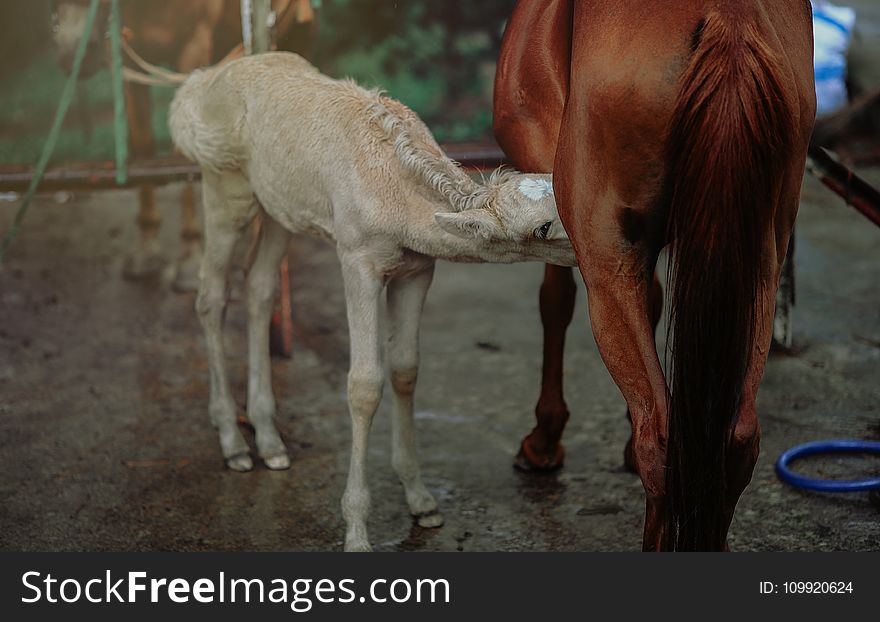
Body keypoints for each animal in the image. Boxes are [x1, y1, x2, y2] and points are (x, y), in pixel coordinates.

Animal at [49, 0, 316, 292]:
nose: (73, 52)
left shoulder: (193, 48)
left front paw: (189, 259)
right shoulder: (131, 62)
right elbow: (143, 142)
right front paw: (146, 249)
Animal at [170, 51, 576, 552]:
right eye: (542, 227)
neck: (398, 201)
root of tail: (199, 84)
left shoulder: (418, 269)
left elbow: (405, 369)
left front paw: (422, 501)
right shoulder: (356, 258)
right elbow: (363, 384)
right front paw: (357, 532)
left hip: (279, 208)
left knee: (259, 287)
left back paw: (270, 442)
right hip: (224, 187)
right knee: (210, 295)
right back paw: (233, 443)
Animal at [496, 0, 820, 552]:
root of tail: (730, 18)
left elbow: (555, 301)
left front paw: (544, 439)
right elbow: (653, 299)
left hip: (605, 257)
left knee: (661, 439)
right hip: (759, 266)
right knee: (737, 437)